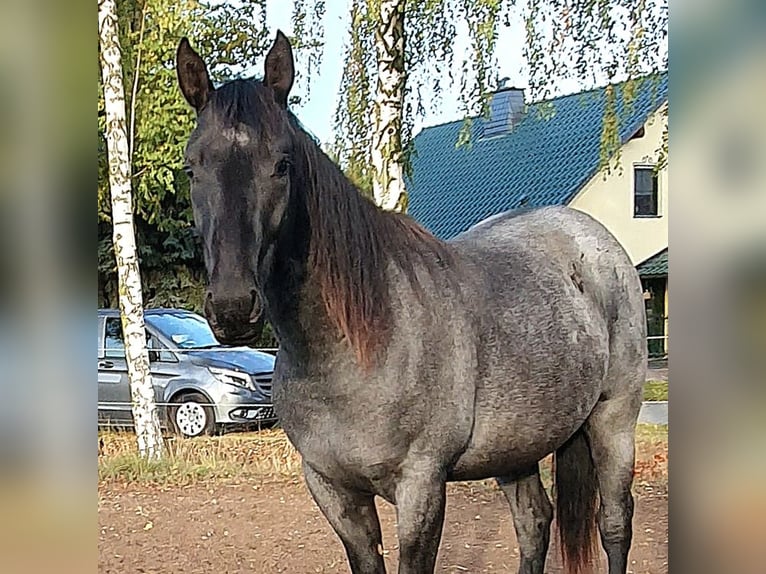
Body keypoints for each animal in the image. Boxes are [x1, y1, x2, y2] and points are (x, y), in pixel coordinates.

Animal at [175, 30, 647, 574]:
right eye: (192, 167)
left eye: (282, 164)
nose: (233, 306)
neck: (353, 349)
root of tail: (594, 239)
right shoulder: (333, 491)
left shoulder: (421, 487)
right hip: (517, 445)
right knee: (534, 521)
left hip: (614, 422)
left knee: (614, 525)